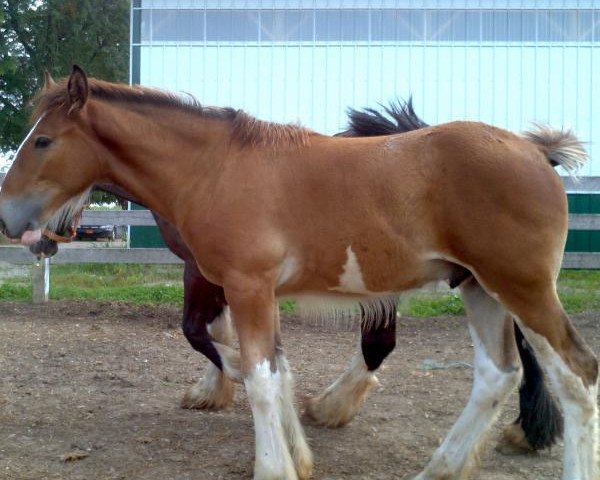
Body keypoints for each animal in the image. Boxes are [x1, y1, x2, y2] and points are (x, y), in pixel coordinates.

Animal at [2, 65, 596, 478]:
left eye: (44, 140)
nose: (9, 217)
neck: (214, 169)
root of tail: (536, 152)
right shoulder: (258, 292)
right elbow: (275, 369)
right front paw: (297, 454)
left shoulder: (244, 286)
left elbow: (258, 377)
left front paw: (272, 465)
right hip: (478, 287)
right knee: (497, 375)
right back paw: (438, 468)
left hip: (522, 288)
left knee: (576, 375)